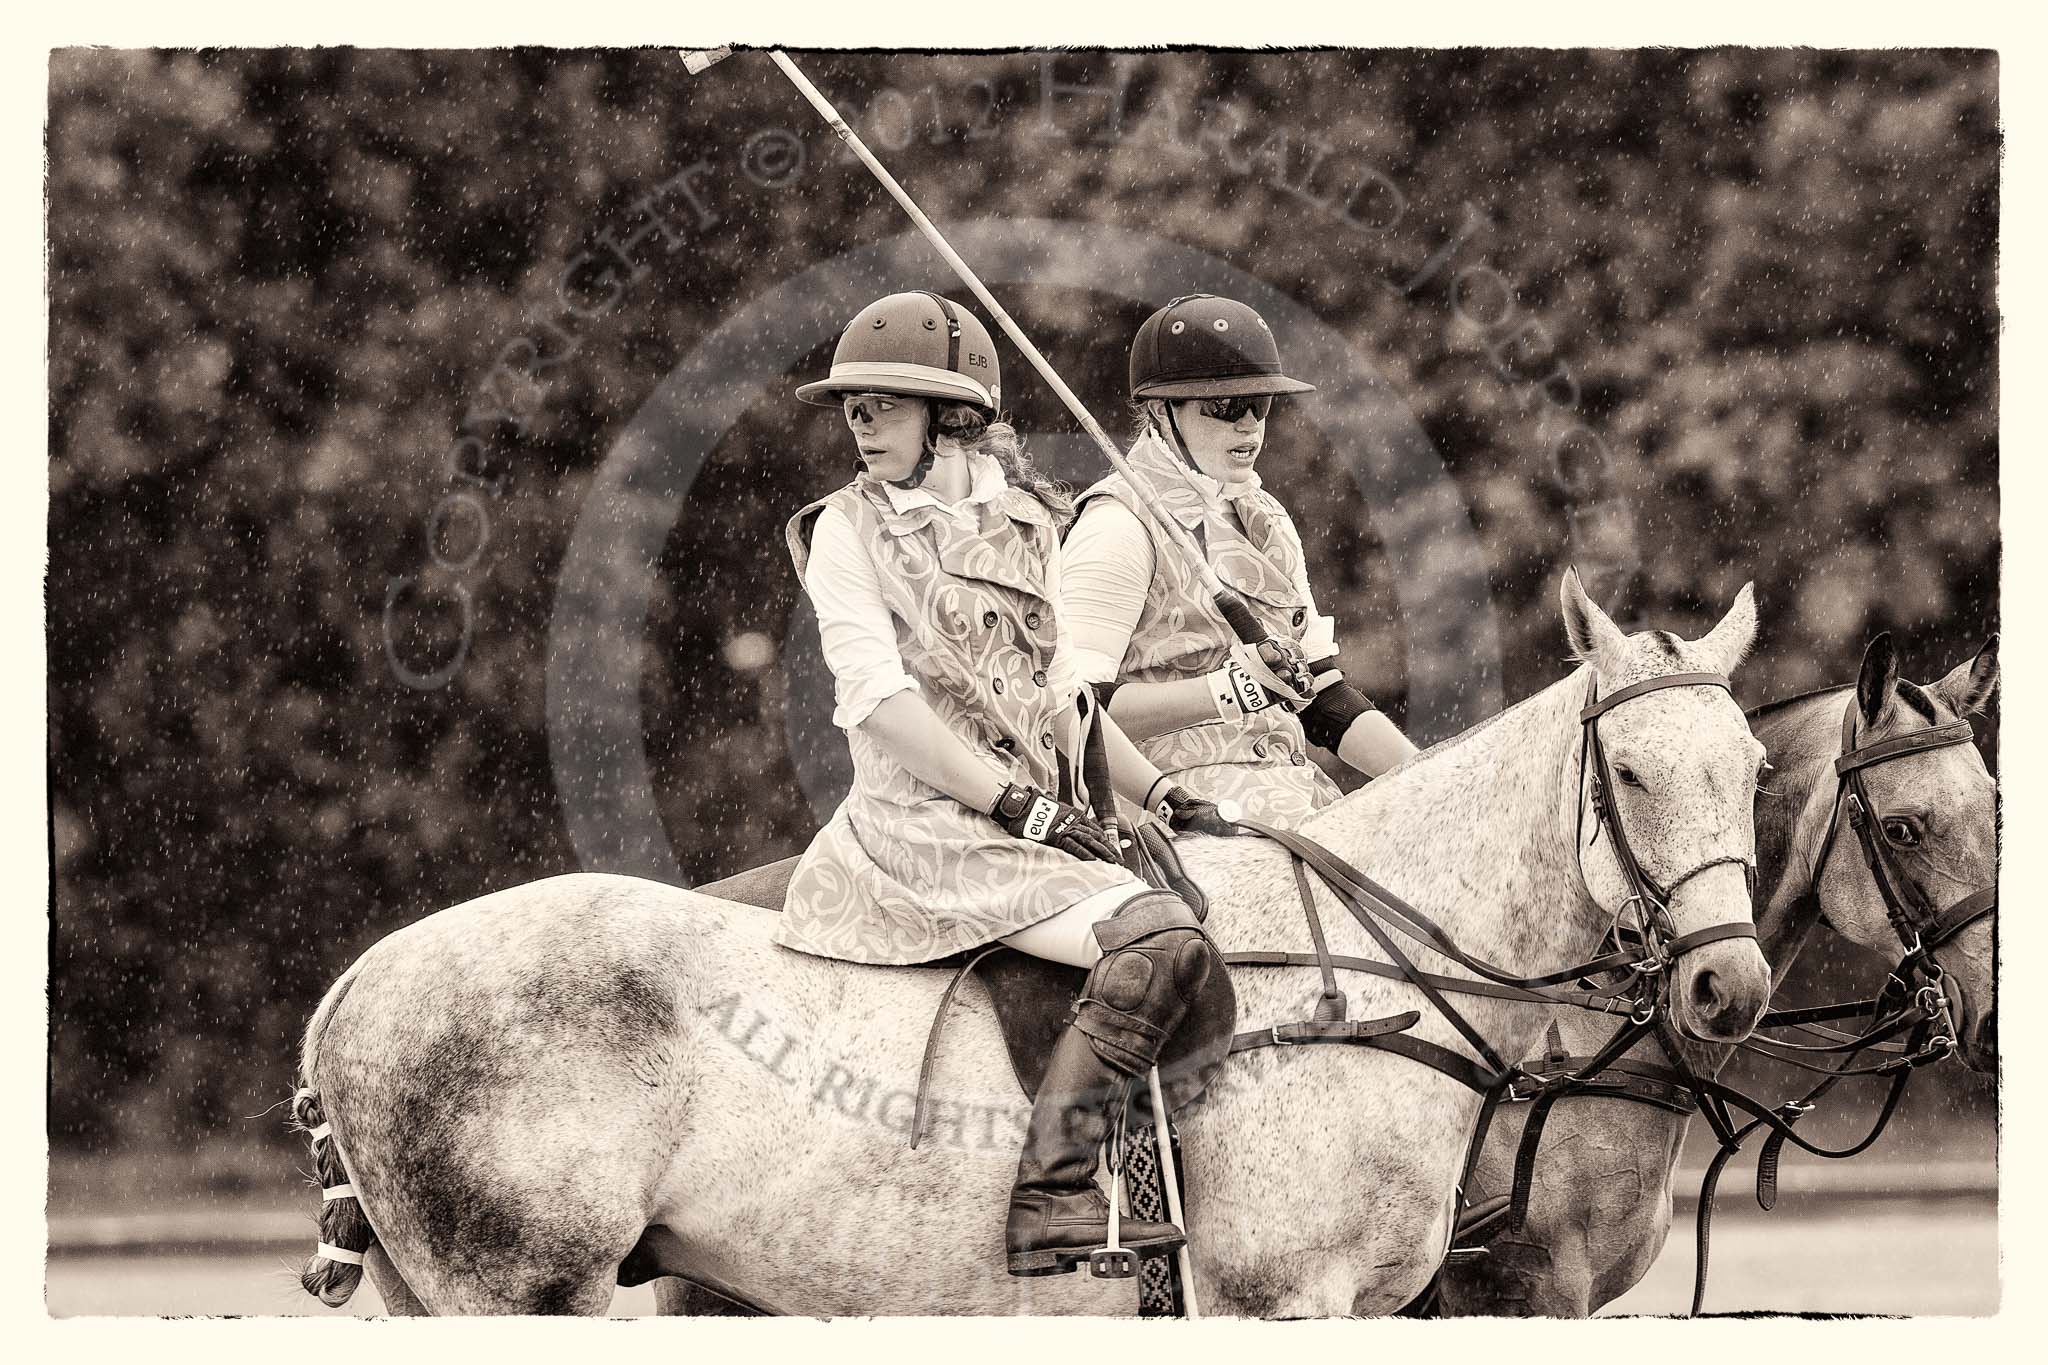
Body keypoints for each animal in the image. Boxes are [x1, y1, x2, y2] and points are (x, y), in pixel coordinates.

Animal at [288, 573, 1777, 1317]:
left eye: (1753, 768)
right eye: (1631, 775)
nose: (1729, 984)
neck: (1375, 984)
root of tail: (353, 979)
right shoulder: (1286, 1303)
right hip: (521, 1287)